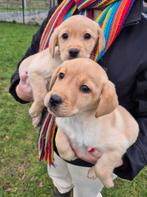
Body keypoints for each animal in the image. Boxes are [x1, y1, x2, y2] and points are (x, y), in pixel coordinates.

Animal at [44, 58, 138, 188]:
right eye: (61, 75)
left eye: (85, 88)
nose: (53, 99)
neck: (78, 120)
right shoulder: (62, 125)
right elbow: (60, 141)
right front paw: (69, 155)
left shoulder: (117, 149)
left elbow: (101, 168)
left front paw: (108, 182)